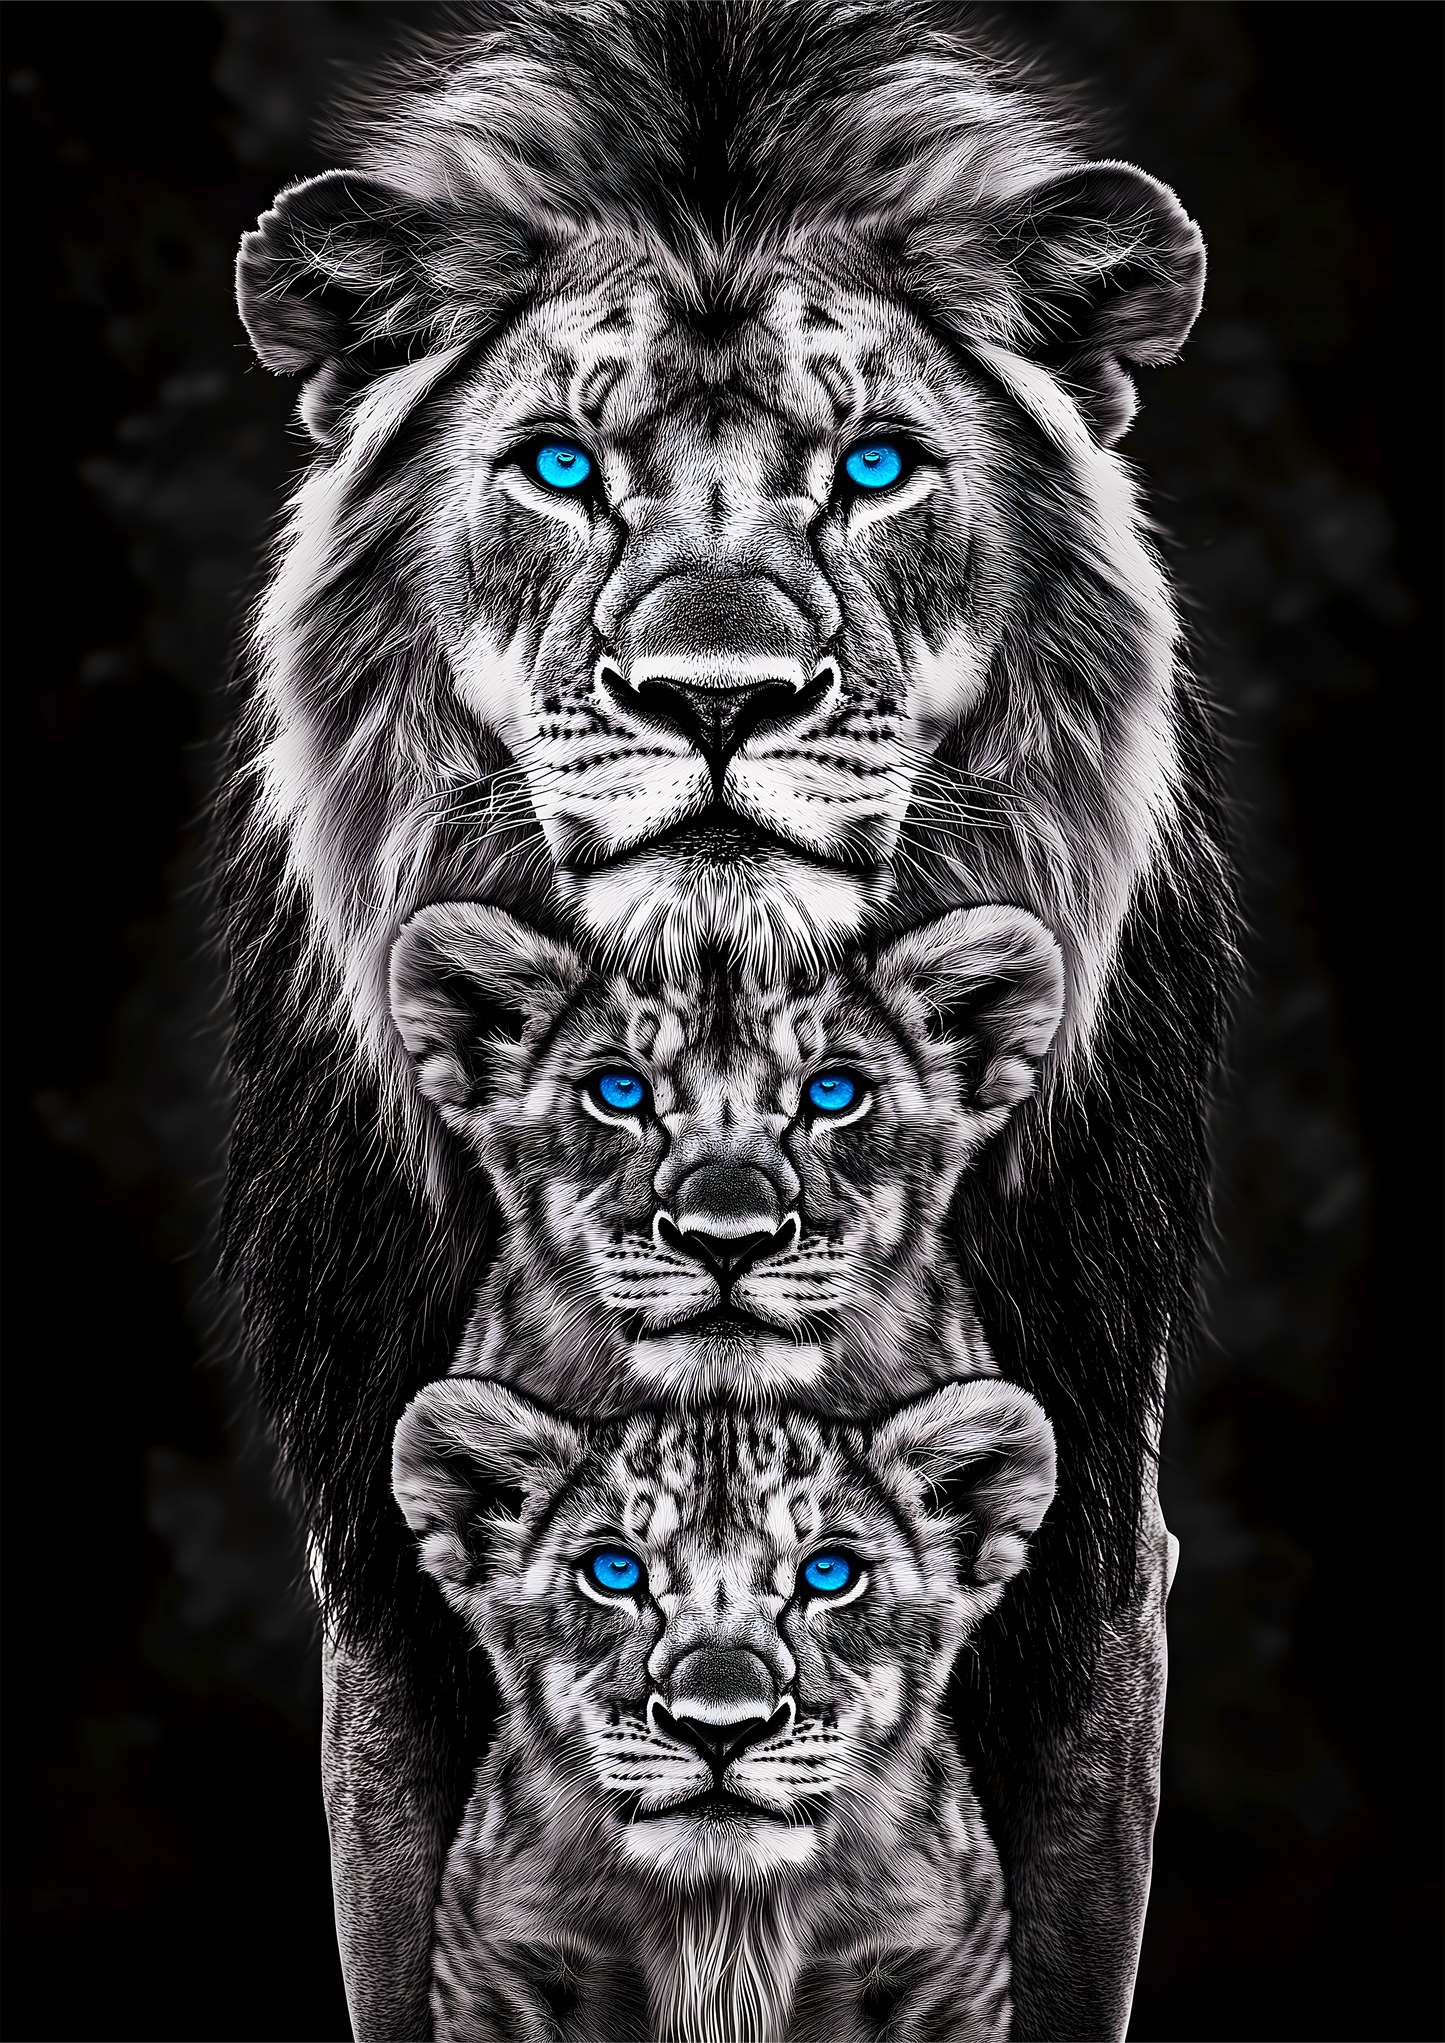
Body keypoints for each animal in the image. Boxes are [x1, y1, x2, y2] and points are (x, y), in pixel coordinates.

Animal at [393, 1374, 1057, 2042]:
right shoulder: (496, 1966)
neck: (721, 1916)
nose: (719, 1730)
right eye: (614, 1571)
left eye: (829, 1572)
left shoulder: (947, 1973)